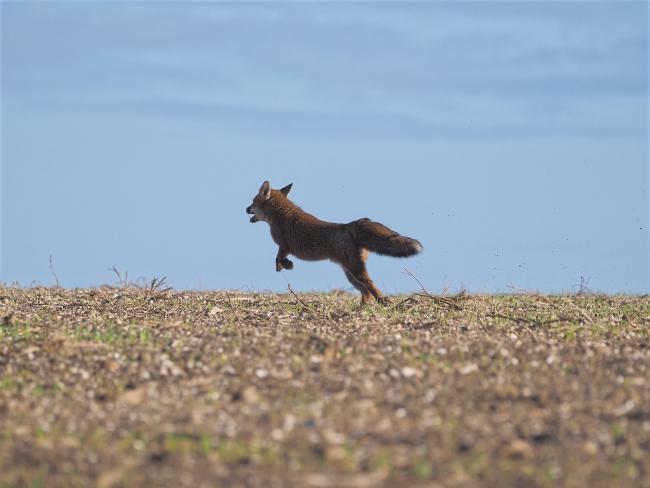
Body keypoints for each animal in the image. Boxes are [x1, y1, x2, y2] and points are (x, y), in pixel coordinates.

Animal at [246, 181, 423, 305]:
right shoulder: (286, 247)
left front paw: (285, 266)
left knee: (372, 287)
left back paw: (383, 302)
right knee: (366, 293)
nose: (245, 208)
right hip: (350, 274)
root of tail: (350, 225)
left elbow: (277, 259)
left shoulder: (284, 245)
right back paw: (361, 308)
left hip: (355, 271)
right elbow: (279, 258)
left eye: (253, 202)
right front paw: (286, 265)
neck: (280, 215)